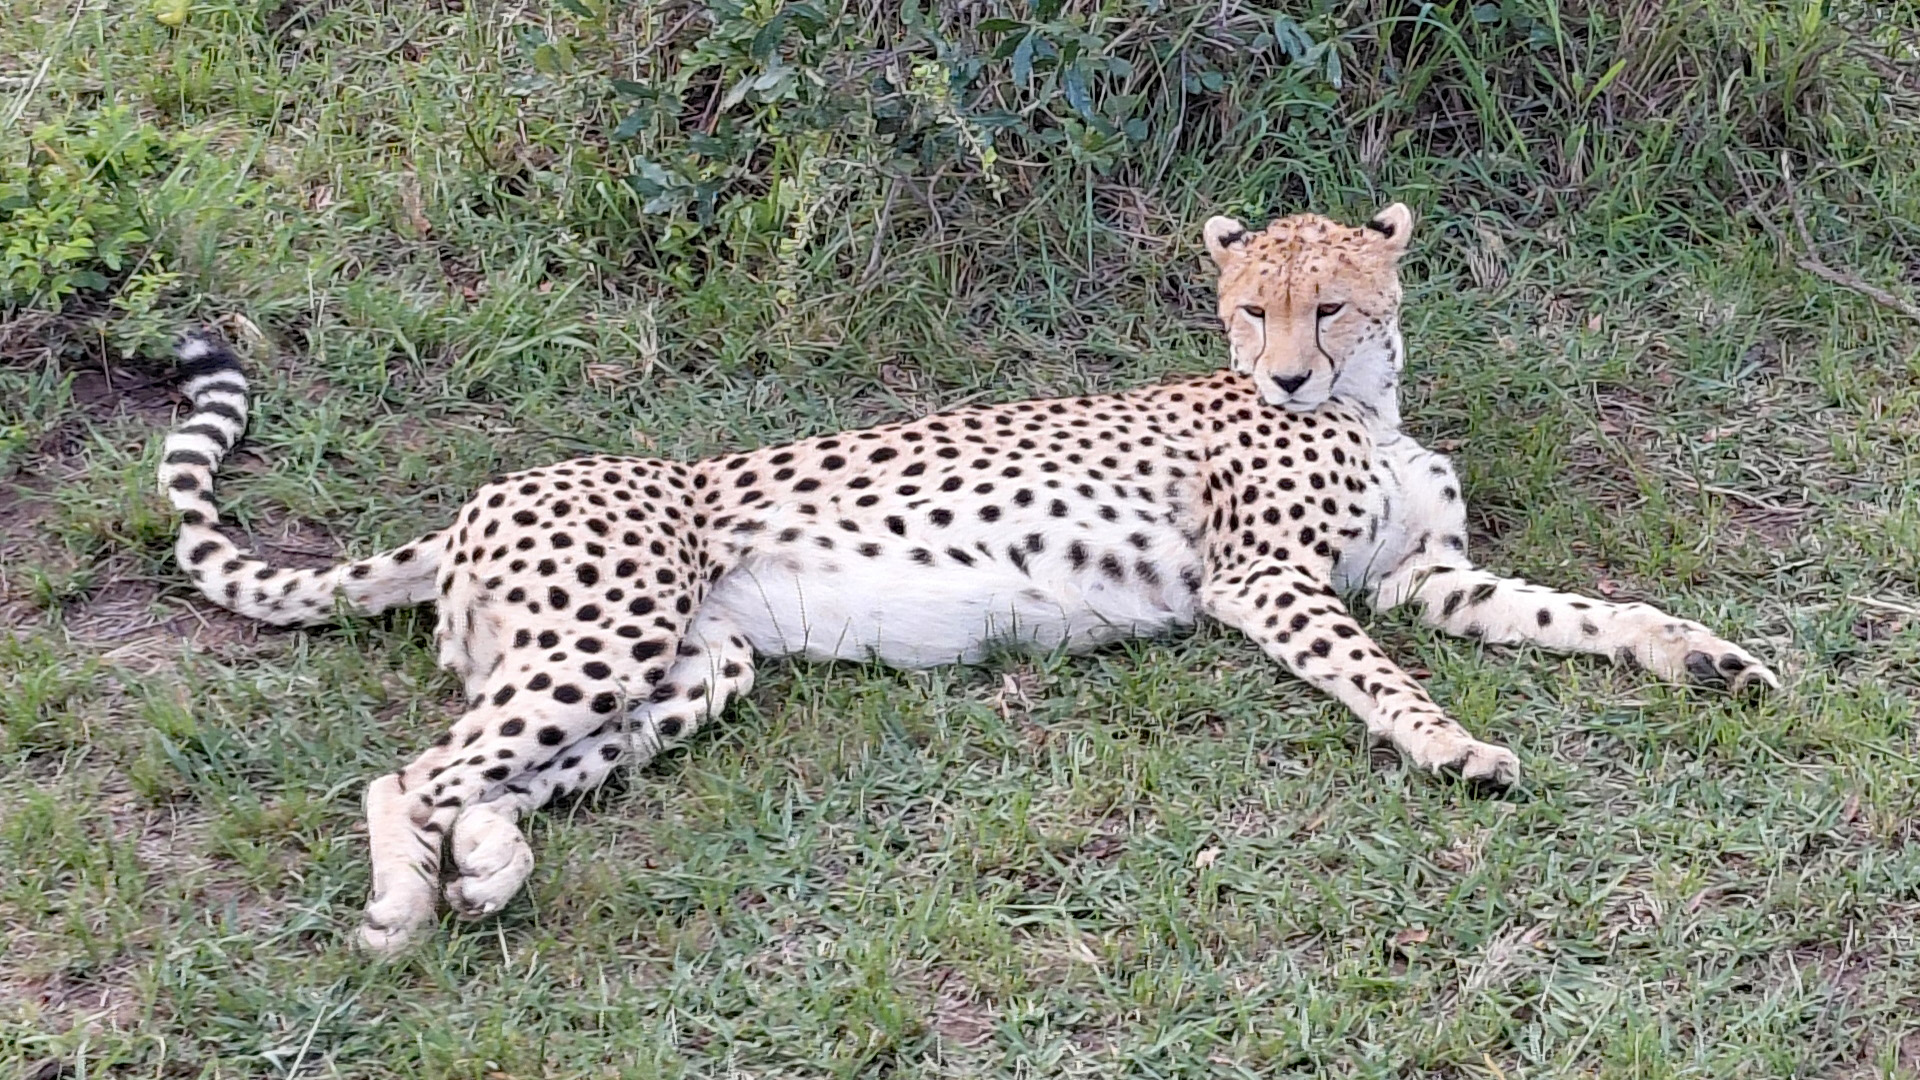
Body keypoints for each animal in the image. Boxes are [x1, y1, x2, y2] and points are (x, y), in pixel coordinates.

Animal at [154, 202, 1779, 954]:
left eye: (1330, 303)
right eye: (1248, 312)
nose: (1290, 373)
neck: (1366, 409)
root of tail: (489, 494)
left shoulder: (1423, 577)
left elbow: (1581, 612)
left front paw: (1701, 655)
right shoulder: (1271, 583)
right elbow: (1383, 675)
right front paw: (1451, 746)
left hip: (693, 661)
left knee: (496, 771)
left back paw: (489, 861)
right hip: (604, 630)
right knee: (406, 771)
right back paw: (406, 901)